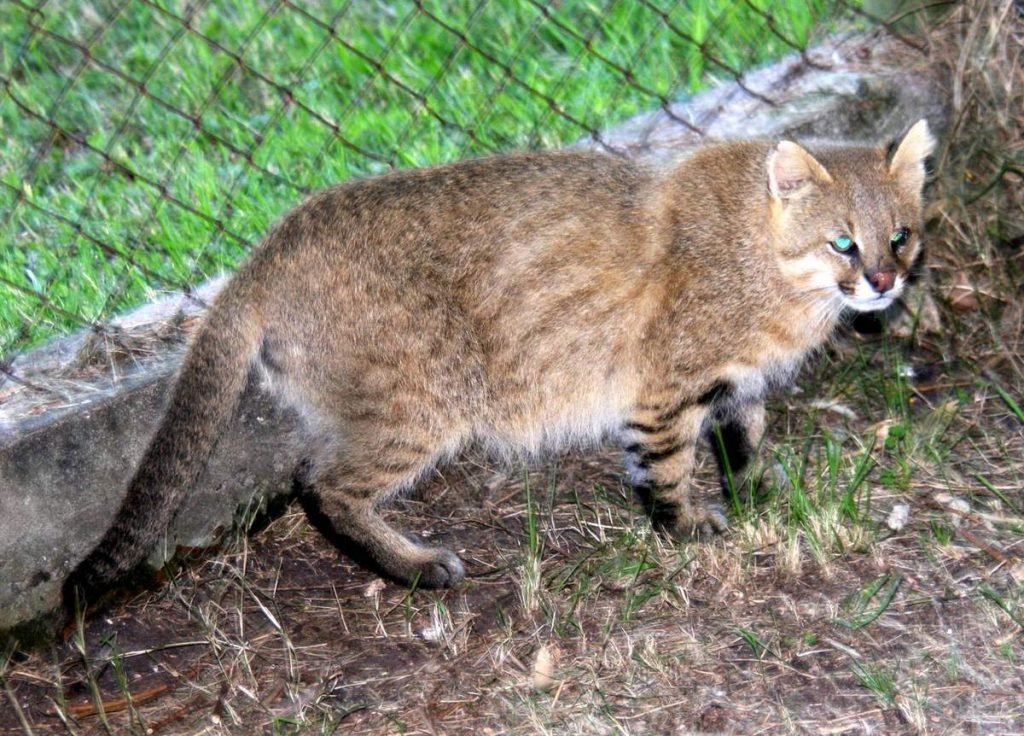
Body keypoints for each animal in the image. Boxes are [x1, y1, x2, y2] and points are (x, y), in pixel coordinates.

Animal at [66, 118, 937, 597]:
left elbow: (745, 439)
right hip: (426, 403)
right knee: (322, 485)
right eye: (843, 243)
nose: (884, 282)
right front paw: (689, 528)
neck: (769, 262)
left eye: (900, 235)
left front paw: (758, 495)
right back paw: (414, 566)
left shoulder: (735, 384)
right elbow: (666, 468)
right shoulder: (664, 390)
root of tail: (262, 253)